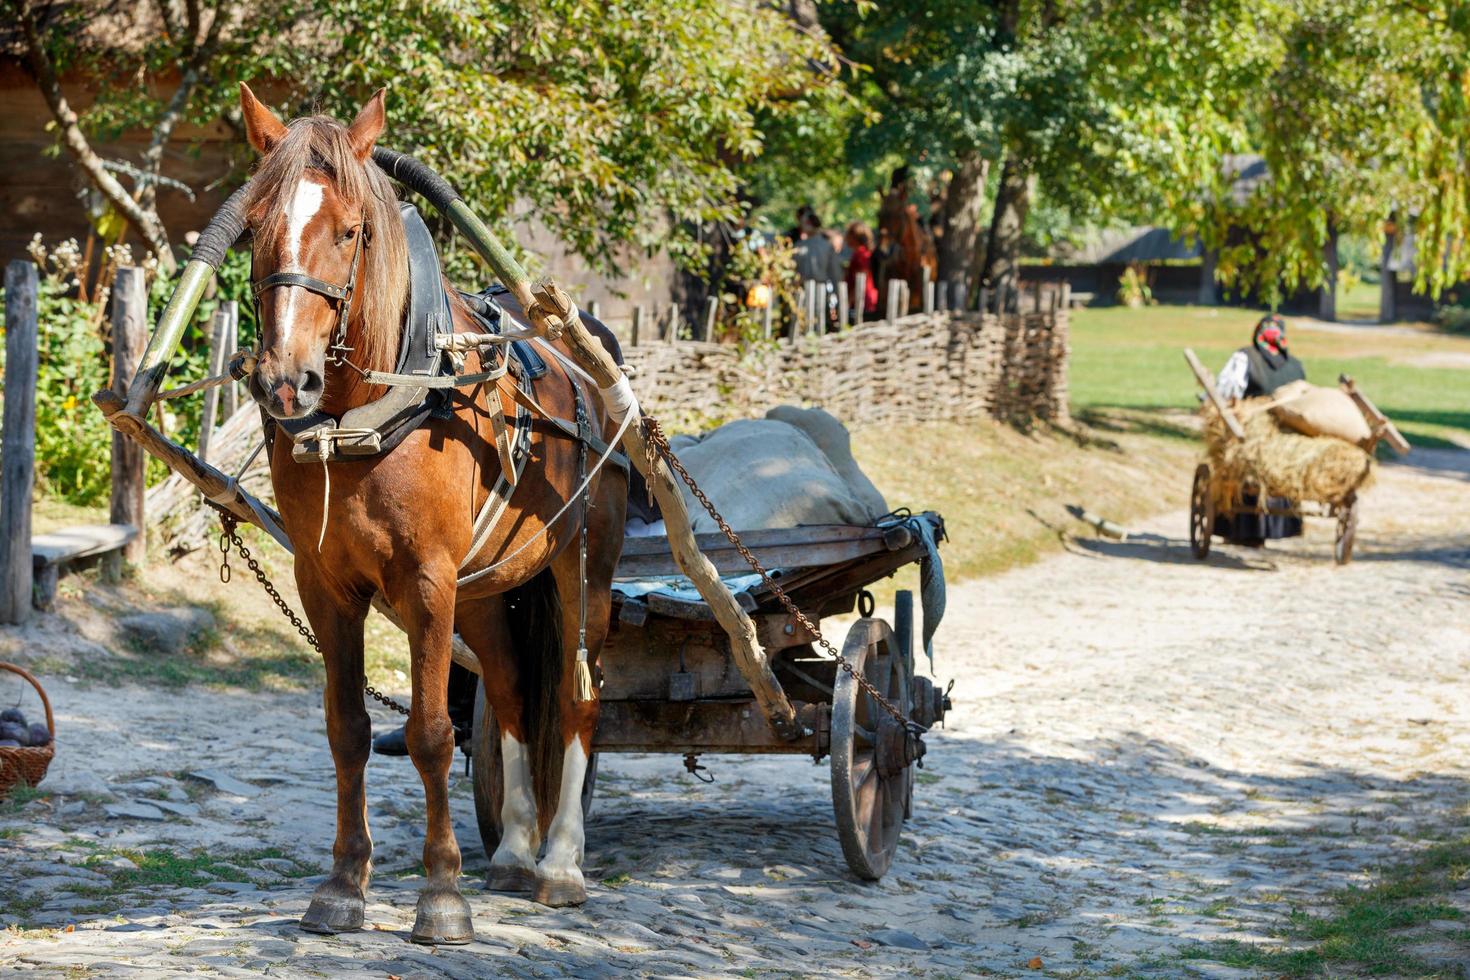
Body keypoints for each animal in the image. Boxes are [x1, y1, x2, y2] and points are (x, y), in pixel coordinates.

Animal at [236, 88, 626, 946]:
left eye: (351, 230)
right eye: (252, 225)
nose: (286, 380)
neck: (374, 411)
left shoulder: (426, 579)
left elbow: (432, 733)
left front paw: (441, 895)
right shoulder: (325, 583)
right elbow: (348, 728)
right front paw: (344, 883)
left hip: (583, 563)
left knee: (576, 696)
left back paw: (560, 864)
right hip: (484, 586)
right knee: (510, 690)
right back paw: (513, 851)